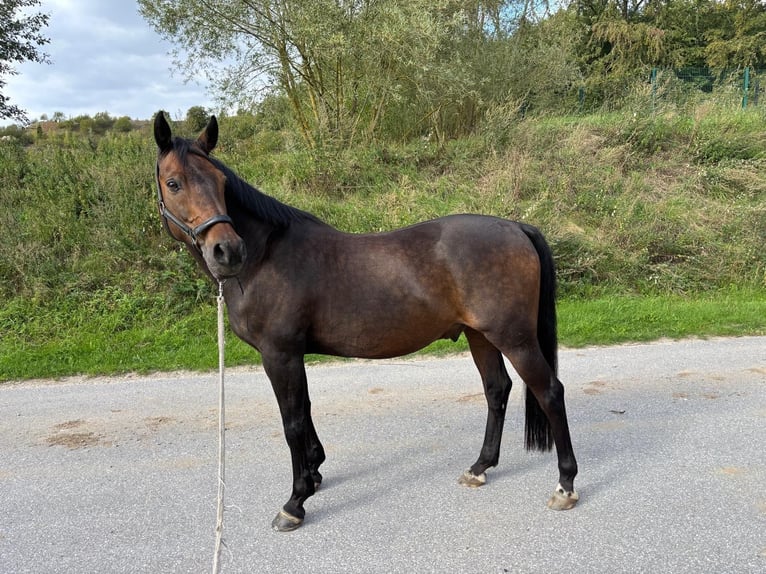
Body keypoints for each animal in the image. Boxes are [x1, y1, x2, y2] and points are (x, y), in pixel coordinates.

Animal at [152, 111, 579, 532]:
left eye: (222, 183)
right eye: (174, 183)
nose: (227, 250)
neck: (265, 256)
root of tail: (516, 227)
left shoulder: (279, 354)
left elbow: (292, 422)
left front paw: (295, 502)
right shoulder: (292, 355)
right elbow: (305, 411)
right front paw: (315, 472)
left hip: (515, 338)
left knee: (550, 392)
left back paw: (565, 484)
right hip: (481, 335)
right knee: (497, 390)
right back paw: (479, 467)